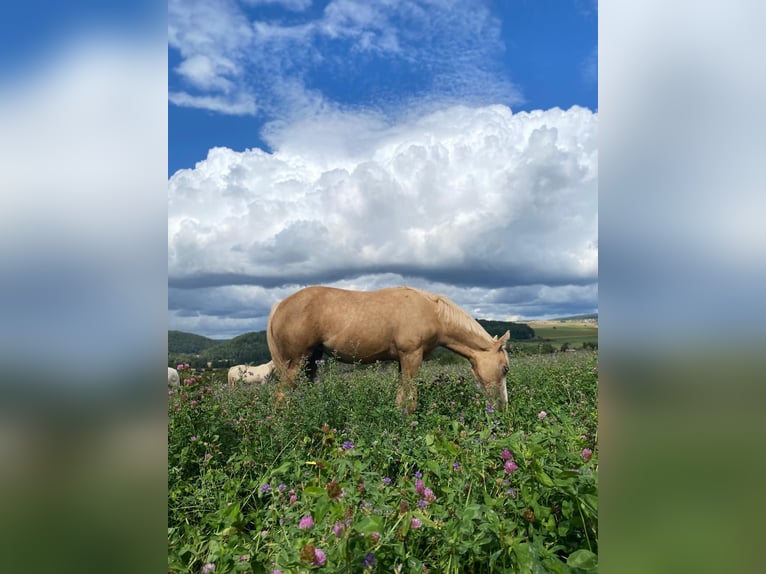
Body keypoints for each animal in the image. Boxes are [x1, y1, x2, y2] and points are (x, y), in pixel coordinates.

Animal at [266, 286, 510, 413]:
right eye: (505, 368)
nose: (502, 405)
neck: (434, 313)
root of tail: (279, 305)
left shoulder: (403, 360)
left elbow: (400, 398)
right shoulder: (412, 356)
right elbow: (411, 400)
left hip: (311, 360)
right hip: (296, 361)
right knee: (281, 396)